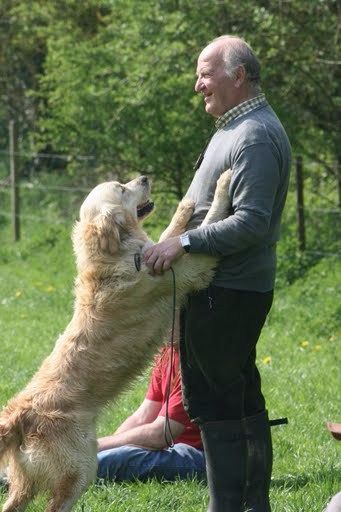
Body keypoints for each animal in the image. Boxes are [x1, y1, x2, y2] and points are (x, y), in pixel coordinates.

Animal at [0, 170, 231, 510]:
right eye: (122, 189)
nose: (145, 176)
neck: (113, 256)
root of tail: (20, 416)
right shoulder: (189, 267)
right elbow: (208, 223)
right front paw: (224, 183)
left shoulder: (161, 255)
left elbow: (168, 234)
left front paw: (185, 206)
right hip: (80, 468)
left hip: (25, 482)